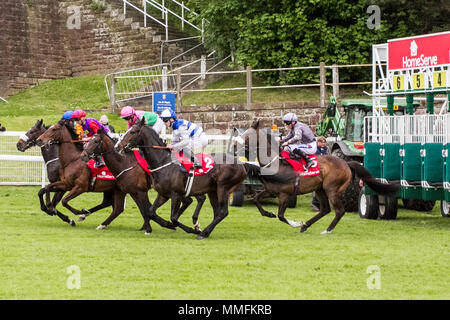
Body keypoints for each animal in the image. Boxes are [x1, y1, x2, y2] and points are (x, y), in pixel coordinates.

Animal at [114, 119, 248, 239]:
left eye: (133, 132)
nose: (117, 147)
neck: (163, 162)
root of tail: (241, 164)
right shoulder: (163, 194)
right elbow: (151, 212)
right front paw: (168, 225)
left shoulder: (176, 194)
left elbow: (173, 217)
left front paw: (192, 229)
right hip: (212, 190)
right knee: (217, 212)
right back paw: (205, 232)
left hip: (223, 188)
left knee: (223, 212)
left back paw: (202, 233)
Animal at [241, 119, 400, 234]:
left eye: (247, 135)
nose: (238, 145)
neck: (276, 163)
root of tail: (346, 163)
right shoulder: (270, 191)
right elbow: (256, 200)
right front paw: (269, 214)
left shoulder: (285, 194)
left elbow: (281, 215)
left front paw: (295, 223)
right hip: (319, 189)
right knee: (325, 209)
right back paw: (306, 225)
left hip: (332, 189)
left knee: (339, 210)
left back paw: (327, 230)